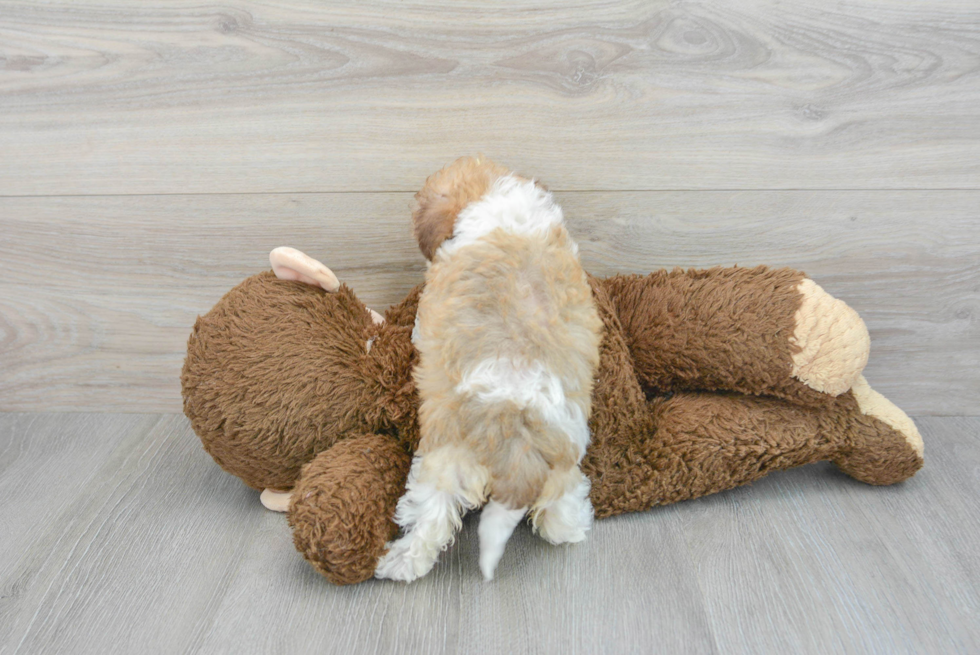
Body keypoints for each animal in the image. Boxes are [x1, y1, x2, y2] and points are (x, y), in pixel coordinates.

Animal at [378, 159, 600, 584]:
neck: (494, 195)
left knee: (431, 518)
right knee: (559, 510)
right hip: (562, 463)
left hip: (443, 462)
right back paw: (574, 526)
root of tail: (517, 436)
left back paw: (400, 562)